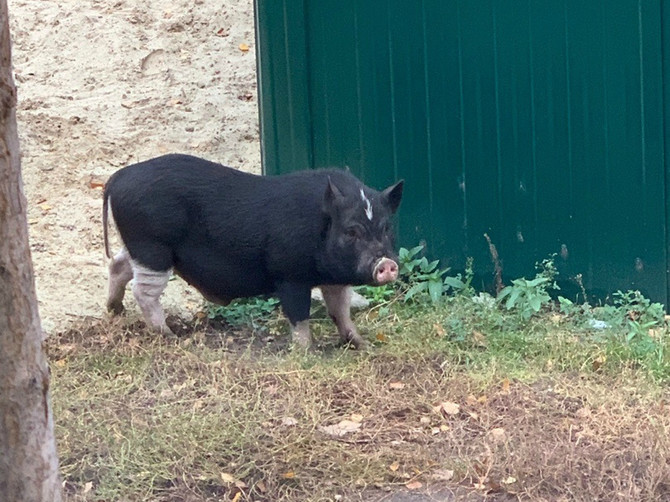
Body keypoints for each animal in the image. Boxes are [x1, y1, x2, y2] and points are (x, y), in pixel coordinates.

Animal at [102, 153, 402, 350]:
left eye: (386, 227)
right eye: (351, 231)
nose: (385, 263)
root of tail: (117, 178)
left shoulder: (334, 279)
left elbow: (340, 311)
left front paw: (363, 345)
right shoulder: (289, 276)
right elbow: (299, 315)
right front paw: (307, 352)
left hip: (140, 249)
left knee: (118, 264)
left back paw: (115, 310)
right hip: (152, 248)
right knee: (143, 291)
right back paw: (169, 336)